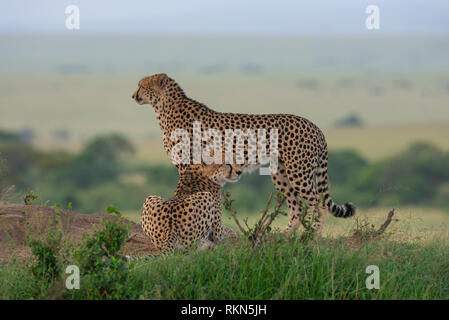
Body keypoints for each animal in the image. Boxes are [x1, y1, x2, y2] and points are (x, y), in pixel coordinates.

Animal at [131, 73, 356, 235]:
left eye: (141, 85)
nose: (133, 96)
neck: (164, 107)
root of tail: (315, 126)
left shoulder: (188, 165)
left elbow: (185, 192)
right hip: (280, 173)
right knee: (298, 207)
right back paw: (284, 237)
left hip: (298, 172)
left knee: (319, 204)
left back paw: (313, 238)